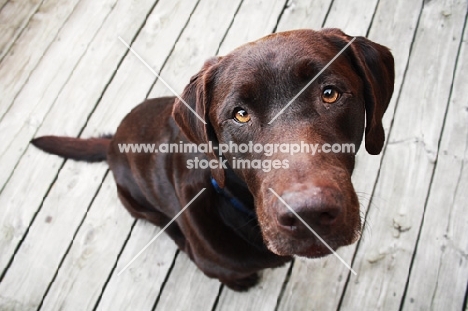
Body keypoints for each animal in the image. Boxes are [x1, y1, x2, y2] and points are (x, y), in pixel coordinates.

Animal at [31, 28, 394, 292]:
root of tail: (112, 141)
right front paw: (241, 282)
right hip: (136, 201)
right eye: (240, 114)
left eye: (330, 93)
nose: (308, 215)